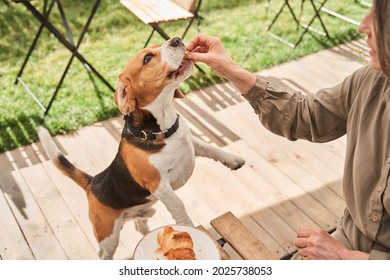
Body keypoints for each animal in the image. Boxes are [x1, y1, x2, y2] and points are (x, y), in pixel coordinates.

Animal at [38, 37, 245, 260]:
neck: (162, 128)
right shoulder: (159, 186)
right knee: (104, 254)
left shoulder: (191, 144)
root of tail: (93, 182)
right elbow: (179, 205)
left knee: (139, 225)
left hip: (144, 211)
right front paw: (188, 226)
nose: (176, 40)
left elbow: (210, 148)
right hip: (109, 237)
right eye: (147, 58)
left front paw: (232, 160)